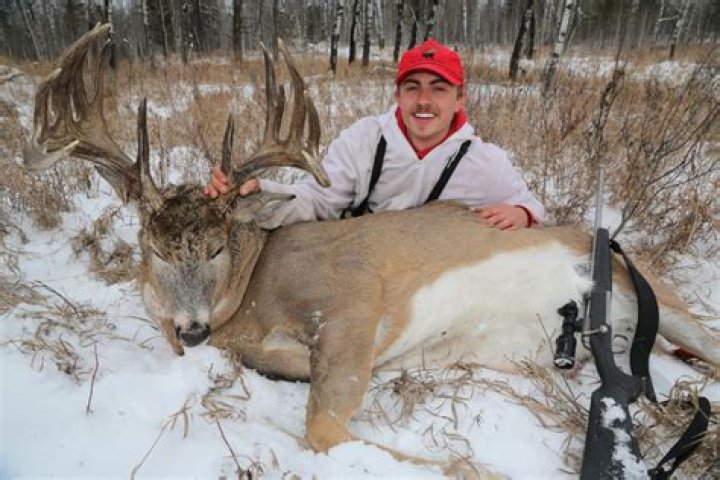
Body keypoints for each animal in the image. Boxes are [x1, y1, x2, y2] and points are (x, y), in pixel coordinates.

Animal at [23, 24, 719, 476]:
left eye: (218, 246)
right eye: (155, 248)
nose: (191, 329)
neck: (250, 297)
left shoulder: (354, 295)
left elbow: (324, 428)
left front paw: (474, 469)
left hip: (668, 299)